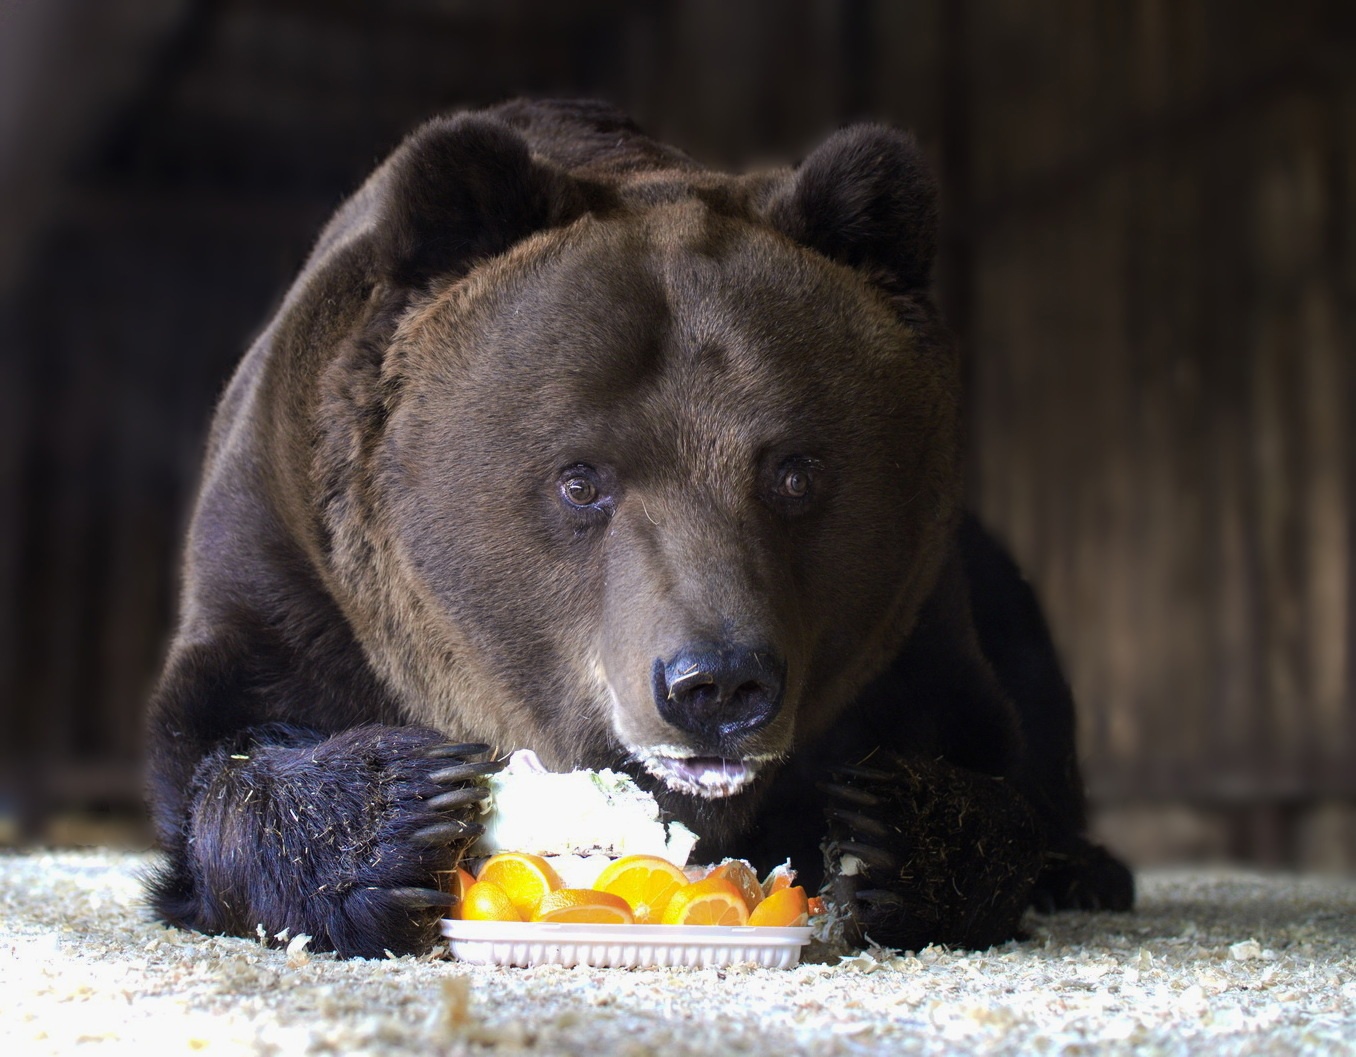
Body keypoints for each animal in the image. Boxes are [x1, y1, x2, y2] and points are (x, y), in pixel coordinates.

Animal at [145, 99, 1133, 960]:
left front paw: (886, 830)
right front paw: (403, 810)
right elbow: (216, 738)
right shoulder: (290, 561)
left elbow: (984, 751)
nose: (718, 683)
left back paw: (1087, 869)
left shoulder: (916, 614)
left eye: (794, 470)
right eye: (582, 479)